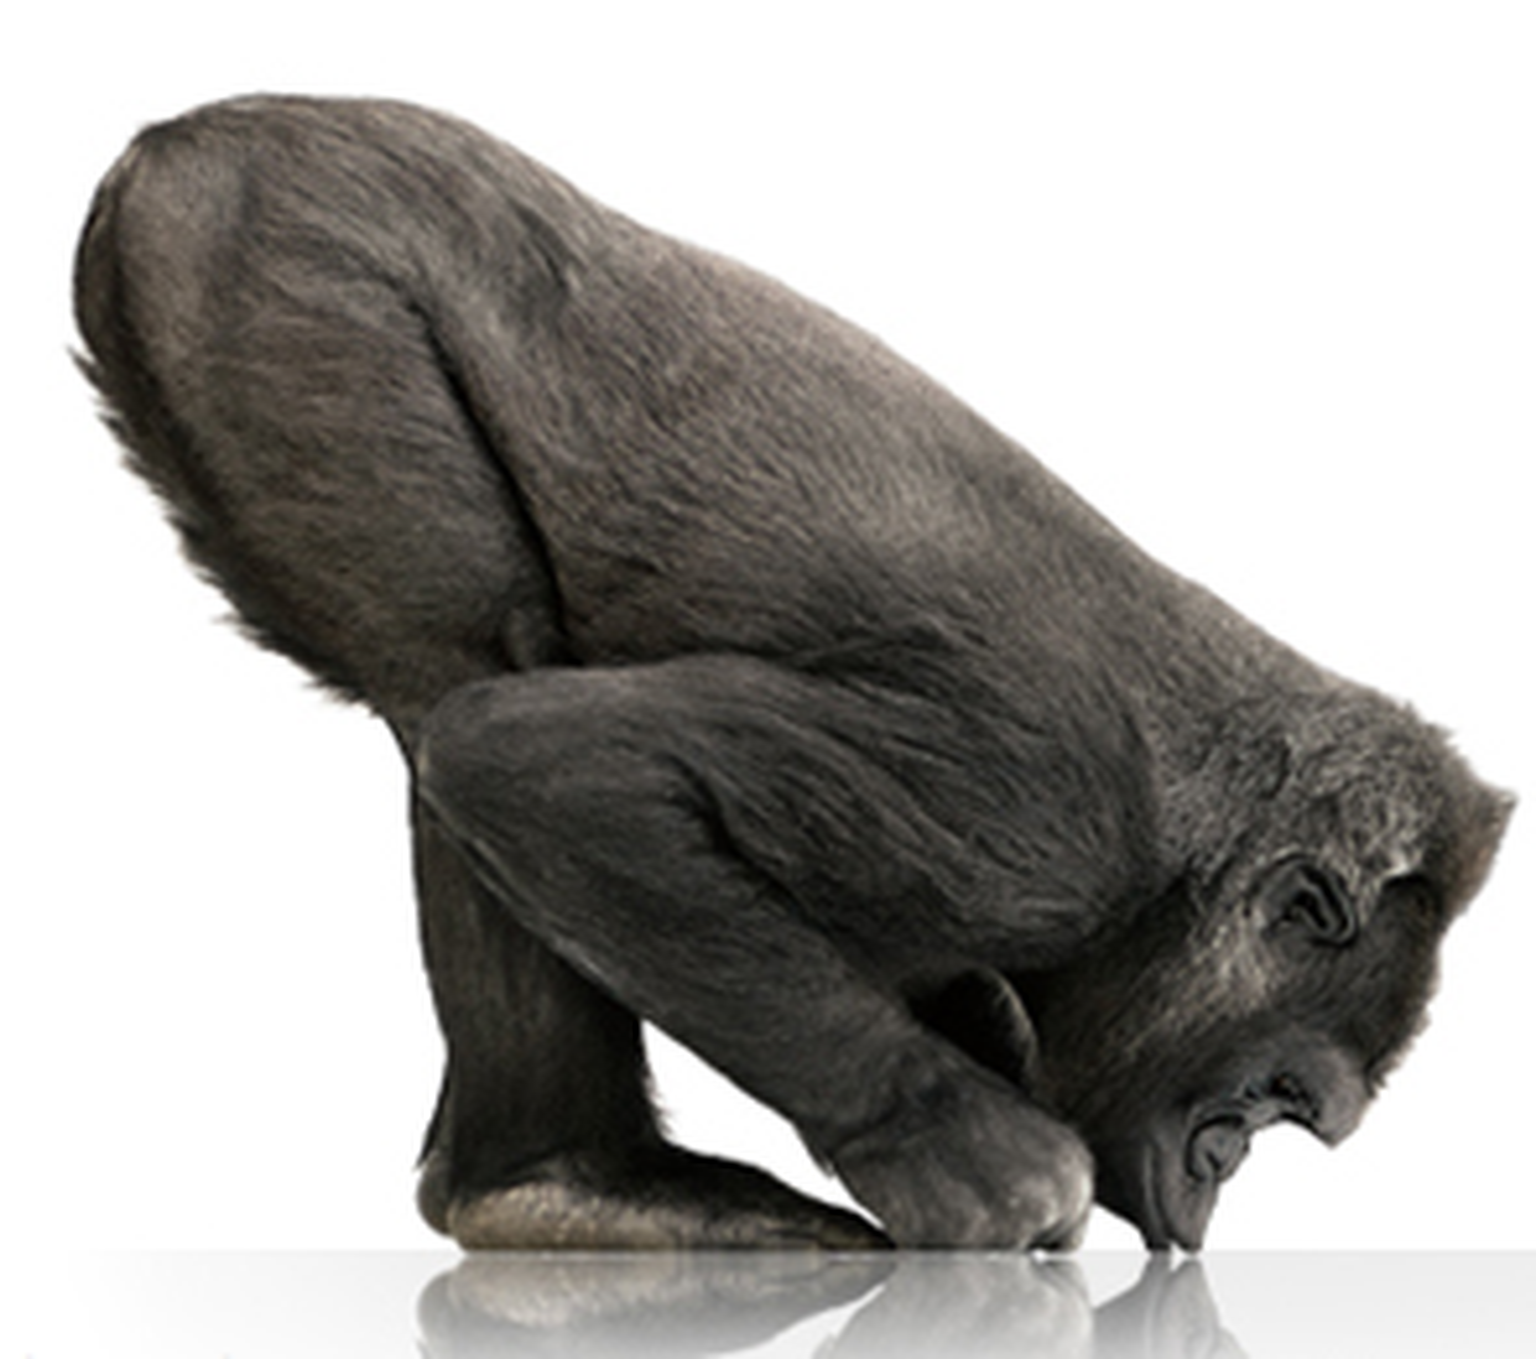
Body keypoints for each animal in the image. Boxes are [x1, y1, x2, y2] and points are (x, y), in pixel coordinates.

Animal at [73, 95, 1511, 1251]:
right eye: (1273, 1099)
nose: (1214, 1181)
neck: (1180, 856)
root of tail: (179, 139)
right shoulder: (1041, 818)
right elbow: (546, 767)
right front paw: (963, 1153)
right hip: (275, 265)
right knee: (456, 686)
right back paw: (557, 1181)